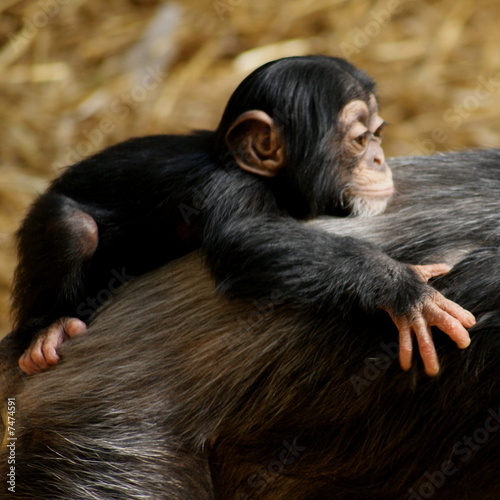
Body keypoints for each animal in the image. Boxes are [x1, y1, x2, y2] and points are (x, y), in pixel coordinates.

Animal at [11, 55, 472, 376]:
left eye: (378, 134)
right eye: (360, 139)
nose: (378, 158)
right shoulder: (229, 189)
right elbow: (246, 237)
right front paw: (402, 288)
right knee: (73, 228)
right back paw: (45, 331)